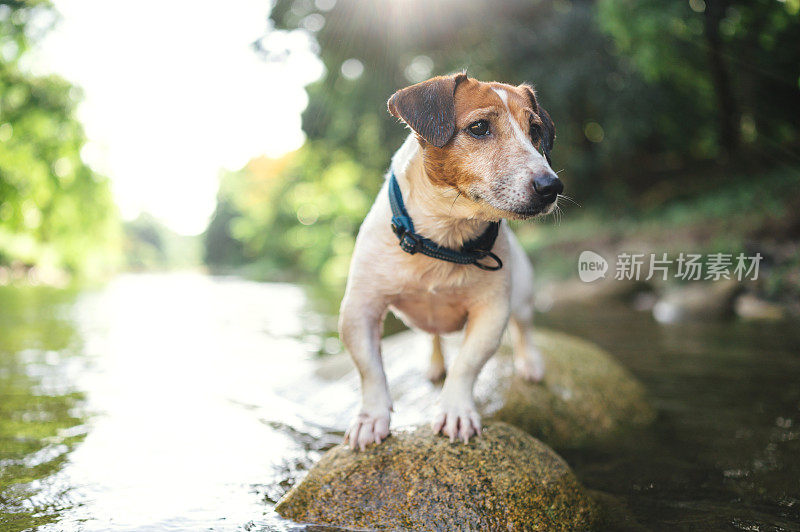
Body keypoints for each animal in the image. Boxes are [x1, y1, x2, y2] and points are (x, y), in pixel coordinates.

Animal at [338, 74, 564, 448]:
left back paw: (530, 363)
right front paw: (371, 418)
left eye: (535, 130)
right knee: (434, 336)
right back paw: (434, 363)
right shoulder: (360, 310)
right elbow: (370, 369)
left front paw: (456, 410)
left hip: (523, 295)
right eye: (479, 127)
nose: (552, 186)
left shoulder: (491, 313)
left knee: (525, 329)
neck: (443, 238)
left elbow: (467, 365)